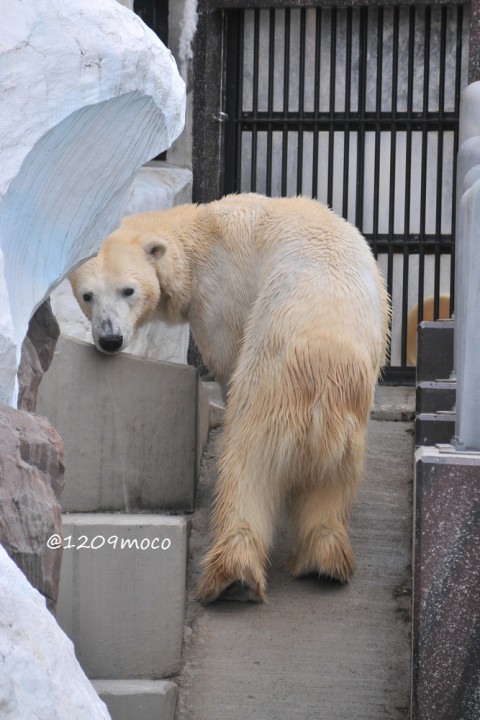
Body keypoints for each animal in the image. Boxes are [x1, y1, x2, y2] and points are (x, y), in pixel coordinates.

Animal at [70, 194, 390, 604]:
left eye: (128, 290)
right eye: (87, 295)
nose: (110, 339)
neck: (199, 237)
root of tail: (324, 367)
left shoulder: (221, 296)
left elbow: (225, 359)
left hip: (270, 382)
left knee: (247, 463)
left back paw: (231, 576)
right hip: (351, 418)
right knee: (332, 484)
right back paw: (323, 561)